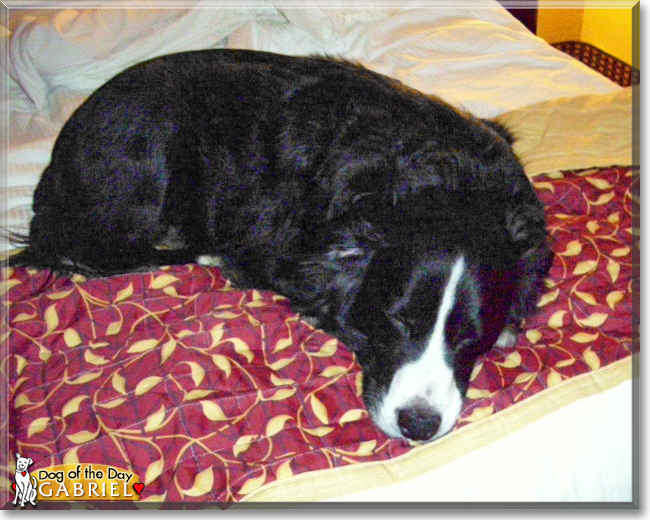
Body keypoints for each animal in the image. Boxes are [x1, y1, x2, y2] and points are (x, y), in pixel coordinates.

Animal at [10, 49, 548, 442]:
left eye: (471, 337)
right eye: (396, 320)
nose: (419, 425)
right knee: (88, 249)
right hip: (152, 149)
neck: (453, 183)